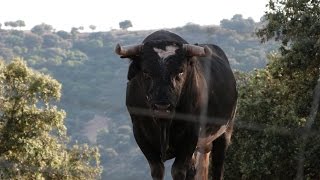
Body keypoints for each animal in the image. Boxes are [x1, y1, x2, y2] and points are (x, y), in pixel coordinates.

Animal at [115, 30, 238, 179]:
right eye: (146, 72)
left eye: (180, 71)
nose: (162, 107)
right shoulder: (140, 132)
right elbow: (157, 170)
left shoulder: (190, 135)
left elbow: (178, 170)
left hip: (225, 132)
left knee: (217, 166)